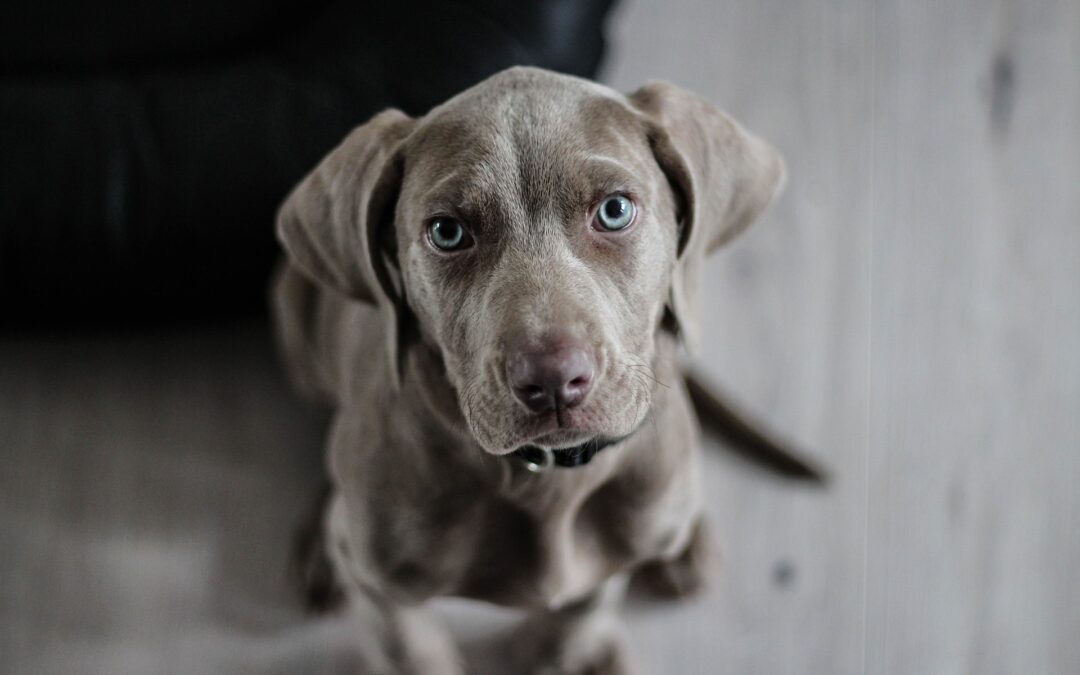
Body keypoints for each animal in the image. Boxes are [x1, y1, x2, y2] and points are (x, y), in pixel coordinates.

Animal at [274, 64, 786, 673]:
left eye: (615, 210)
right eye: (447, 232)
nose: (552, 381)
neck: (547, 478)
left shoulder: (608, 557)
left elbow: (586, 605)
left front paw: (568, 653)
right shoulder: (381, 589)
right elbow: (413, 650)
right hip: (294, 315)